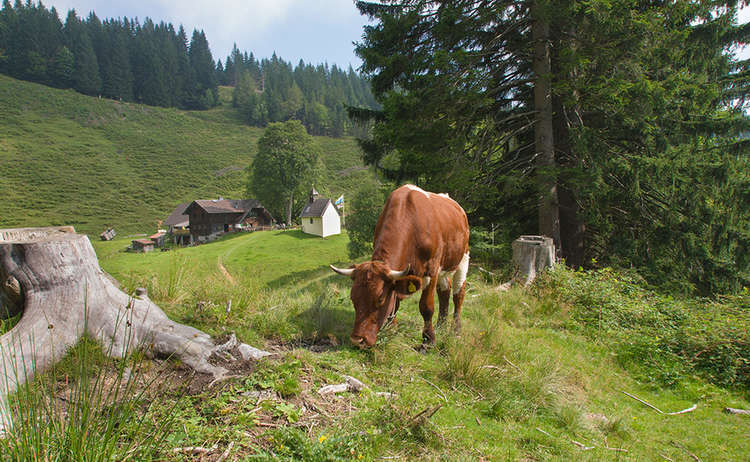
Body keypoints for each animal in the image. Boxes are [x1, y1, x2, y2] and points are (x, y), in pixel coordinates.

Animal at [330, 184, 468, 346]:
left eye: (380, 299)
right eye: (353, 297)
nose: (358, 339)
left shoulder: (432, 269)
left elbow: (426, 306)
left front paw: (429, 340)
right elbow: (395, 302)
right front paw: (392, 330)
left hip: (463, 257)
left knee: (458, 294)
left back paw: (456, 331)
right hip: (444, 267)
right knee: (445, 290)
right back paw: (441, 325)